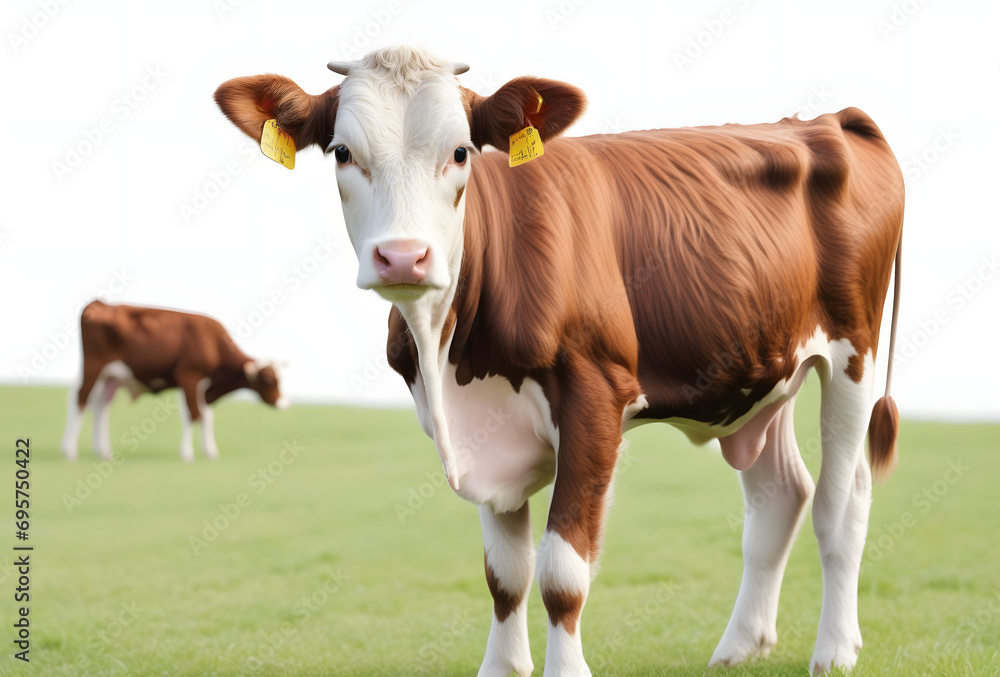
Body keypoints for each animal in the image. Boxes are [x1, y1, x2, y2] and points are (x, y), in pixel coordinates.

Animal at [62, 300, 288, 462]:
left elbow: (206, 416)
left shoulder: (203, 387)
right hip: (94, 367)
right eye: (270, 380)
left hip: (110, 377)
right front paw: (187, 454)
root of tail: (100, 303)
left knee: (100, 405)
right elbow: (194, 415)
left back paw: (103, 451)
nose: (283, 404)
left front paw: (210, 451)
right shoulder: (189, 377)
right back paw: (70, 451)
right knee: (80, 400)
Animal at [215, 47, 904, 676]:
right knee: (780, 497)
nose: (404, 257)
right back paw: (740, 647)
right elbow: (505, 574)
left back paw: (835, 651)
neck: (452, 357)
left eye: (461, 152)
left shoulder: (595, 398)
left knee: (842, 503)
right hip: (764, 368)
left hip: (853, 353)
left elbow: (561, 571)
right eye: (341, 153)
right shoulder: (484, 430)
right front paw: (501, 668)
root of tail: (827, 120)